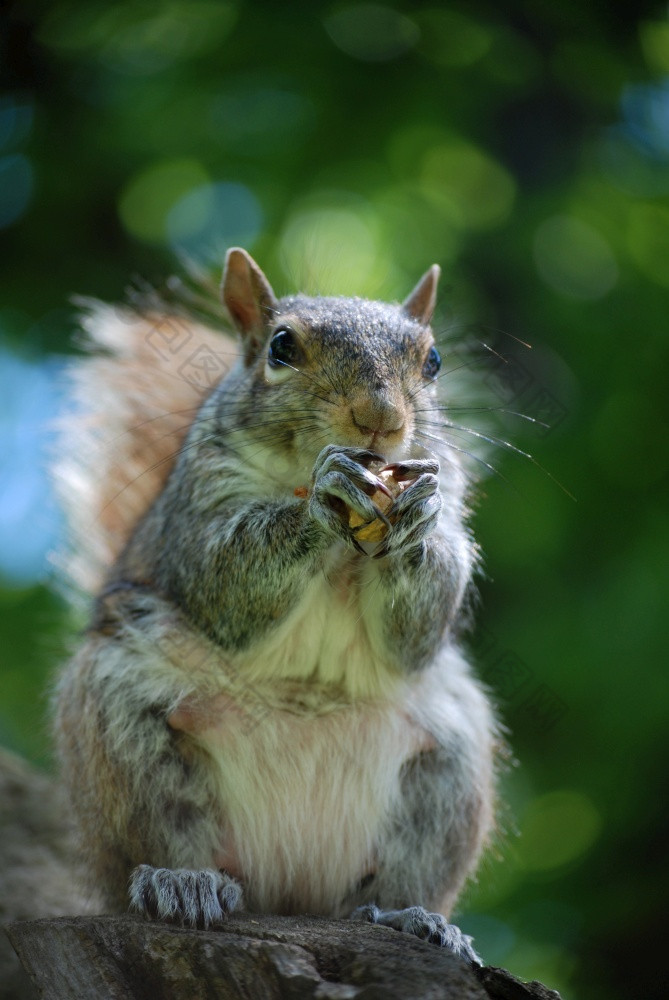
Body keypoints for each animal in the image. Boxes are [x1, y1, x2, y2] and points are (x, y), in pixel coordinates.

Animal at [52, 246, 498, 964]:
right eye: (281, 347)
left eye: (431, 360)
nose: (380, 421)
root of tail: (291, 887)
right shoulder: (197, 510)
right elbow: (224, 576)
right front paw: (324, 496)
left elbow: (425, 620)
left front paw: (419, 522)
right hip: (121, 725)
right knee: (163, 831)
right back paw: (182, 882)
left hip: (449, 768)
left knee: (401, 875)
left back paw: (413, 918)